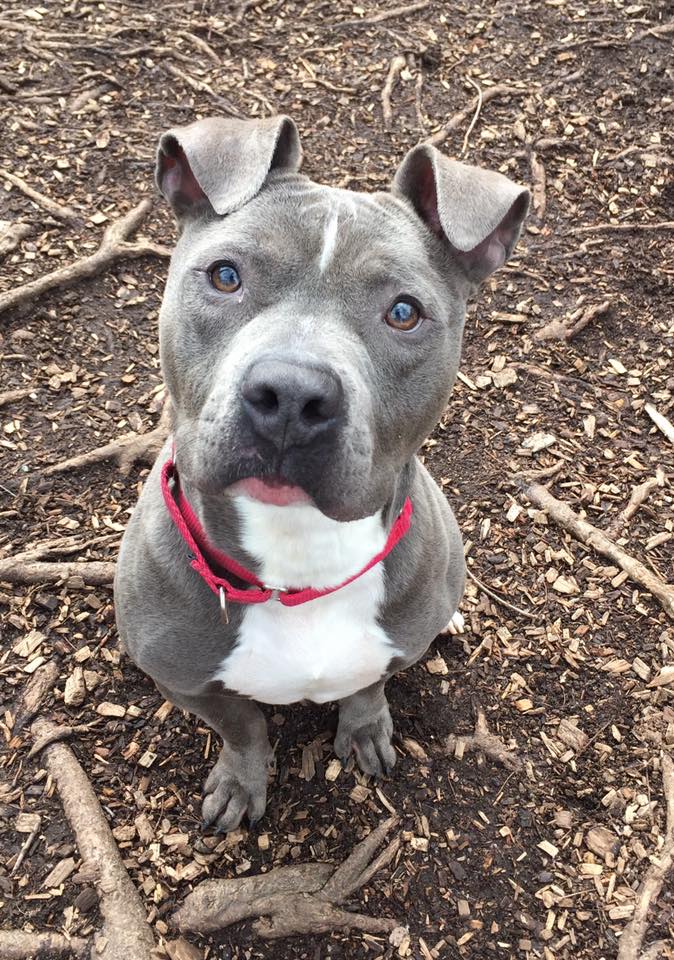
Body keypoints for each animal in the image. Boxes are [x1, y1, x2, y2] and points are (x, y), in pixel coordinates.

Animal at [114, 114, 524, 832]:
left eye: (404, 312)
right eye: (225, 276)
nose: (292, 396)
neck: (299, 558)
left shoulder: (393, 646)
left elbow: (368, 686)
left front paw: (365, 731)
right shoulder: (184, 679)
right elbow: (243, 727)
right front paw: (241, 782)